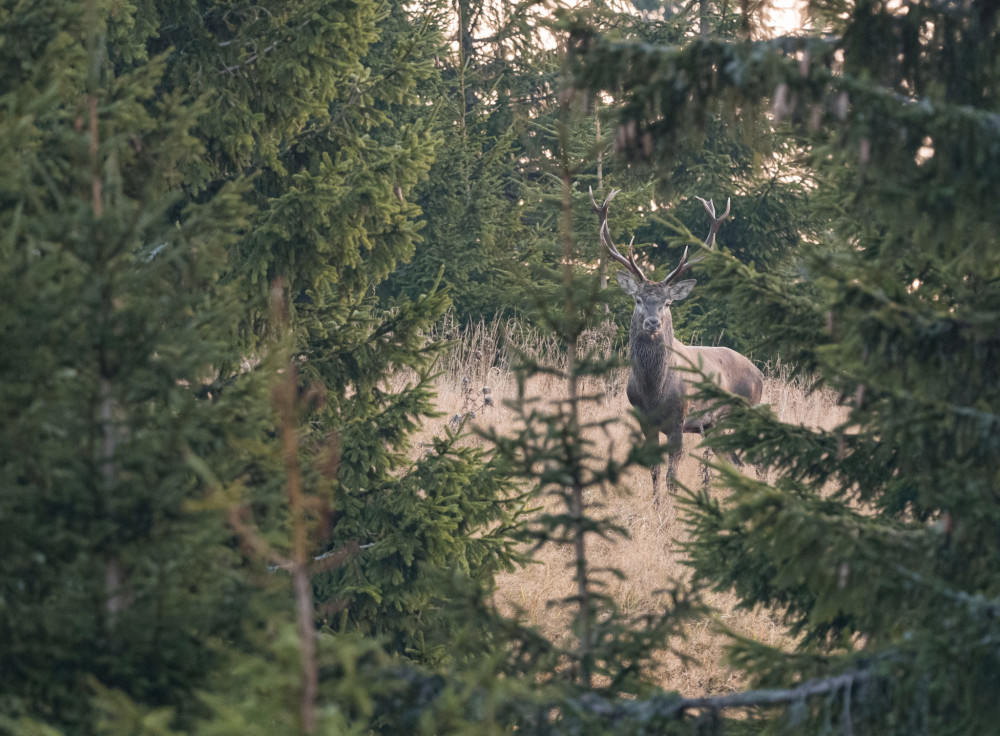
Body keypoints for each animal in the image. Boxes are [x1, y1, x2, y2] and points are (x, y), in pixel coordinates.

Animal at [584, 187, 764, 504]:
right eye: (638, 299)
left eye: (667, 302)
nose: (653, 323)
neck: (654, 391)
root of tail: (761, 375)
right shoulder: (644, 420)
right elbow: (654, 471)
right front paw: (656, 506)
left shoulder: (680, 418)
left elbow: (672, 475)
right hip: (717, 427)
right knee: (736, 464)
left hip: (745, 412)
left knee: (759, 460)